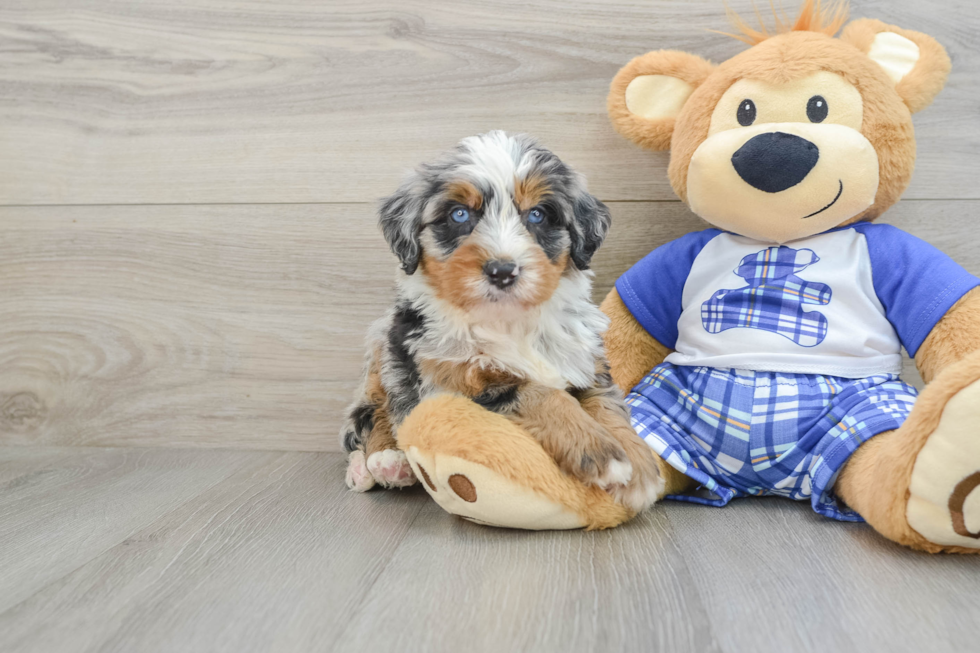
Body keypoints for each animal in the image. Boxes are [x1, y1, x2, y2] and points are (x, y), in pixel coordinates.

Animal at [340, 130, 664, 512]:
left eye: (537, 214)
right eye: (459, 214)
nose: (503, 271)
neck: (510, 320)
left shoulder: (588, 366)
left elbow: (610, 407)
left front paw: (639, 467)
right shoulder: (457, 383)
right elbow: (541, 394)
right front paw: (600, 453)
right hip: (384, 350)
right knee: (372, 411)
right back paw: (383, 462)